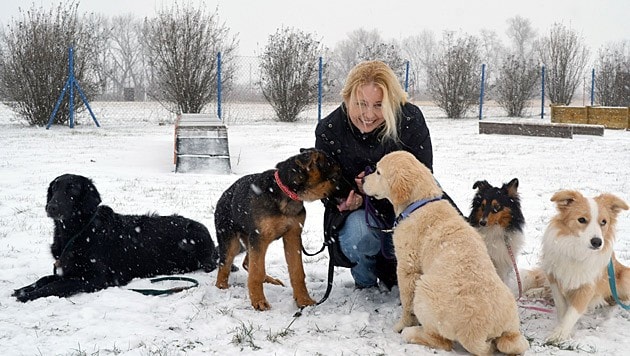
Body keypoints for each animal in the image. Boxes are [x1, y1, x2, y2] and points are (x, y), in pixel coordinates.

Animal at [12, 174, 220, 302]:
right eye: (54, 188)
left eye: (73, 189)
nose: (51, 207)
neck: (78, 231)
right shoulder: (66, 268)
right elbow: (45, 278)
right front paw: (24, 289)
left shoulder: (98, 278)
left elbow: (56, 285)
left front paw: (29, 295)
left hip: (197, 239)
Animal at [215, 147, 348, 308]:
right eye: (337, 175)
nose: (356, 190)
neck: (286, 190)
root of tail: (223, 196)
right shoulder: (259, 238)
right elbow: (256, 272)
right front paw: (258, 301)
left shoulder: (292, 236)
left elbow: (297, 271)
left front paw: (303, 300)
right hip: (233, 242)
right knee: (225, 264)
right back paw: (222, 287)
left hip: (253, 240)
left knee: (247, 262)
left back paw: (270, 280)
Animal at [362, 151, 532, 356]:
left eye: (378, 172)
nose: (362, 179)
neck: (420, 203)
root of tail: (477, 334)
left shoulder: (407, 267)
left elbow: (407, 303)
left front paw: (402, 325)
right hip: (510, 319)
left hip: (424, 290)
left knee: (442, 341)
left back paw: (411, 333)